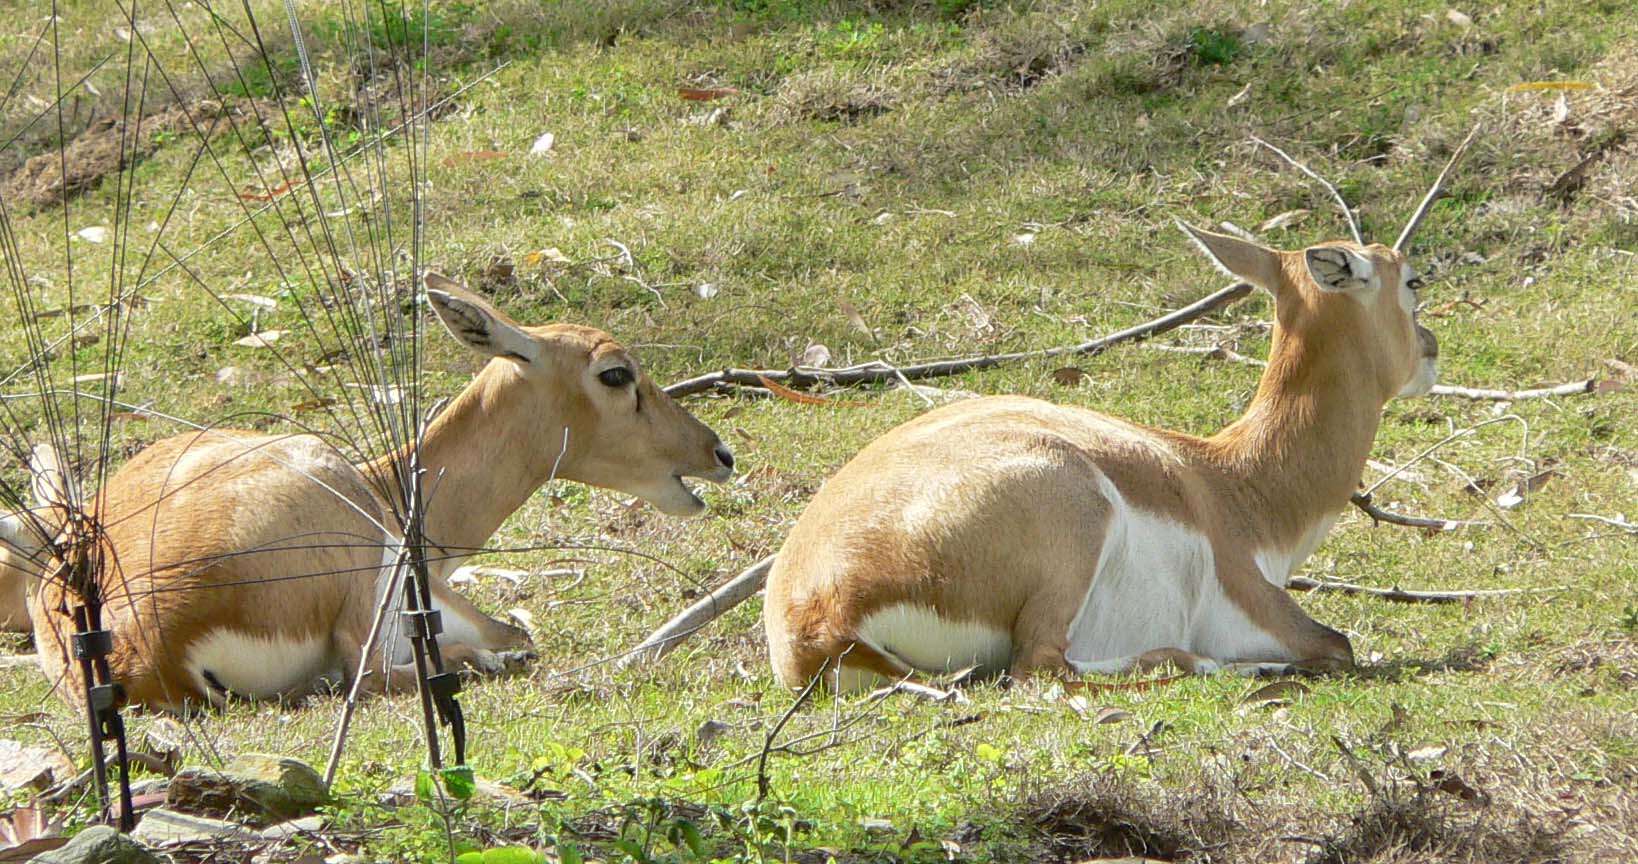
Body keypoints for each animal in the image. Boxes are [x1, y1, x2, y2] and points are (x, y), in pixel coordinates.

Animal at [6, 275, 737, 711]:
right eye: (615, 373)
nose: (718, 454)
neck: (386, 480)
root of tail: (140, 650)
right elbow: (505, 629)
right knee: (384, 666)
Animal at [763, 221, 1434, 688]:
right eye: (1411, 280)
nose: (1429, 346)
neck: (1237, 485)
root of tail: (820, 616)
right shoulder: (1262, 604)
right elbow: (1338, 643)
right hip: (1077, 514)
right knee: (1040, 668)